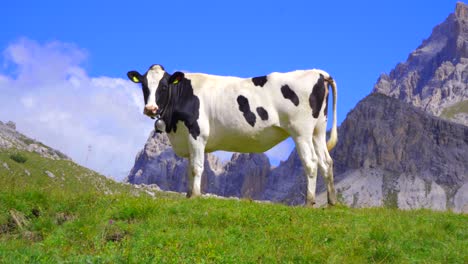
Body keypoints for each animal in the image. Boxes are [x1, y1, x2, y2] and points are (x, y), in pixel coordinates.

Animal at [126, 64, 338, 206]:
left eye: (163, 86)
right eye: (144, 86)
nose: (150, 108)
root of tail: (318, 72)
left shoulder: (197, 134)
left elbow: (196, 167)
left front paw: (195, 196)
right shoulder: (186, 139)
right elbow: (188, 170)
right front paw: (188, 195)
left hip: (301, 131)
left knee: (311, 162)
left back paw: (309, 203)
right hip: (318, 130)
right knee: (326, 161)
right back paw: (331, 202)